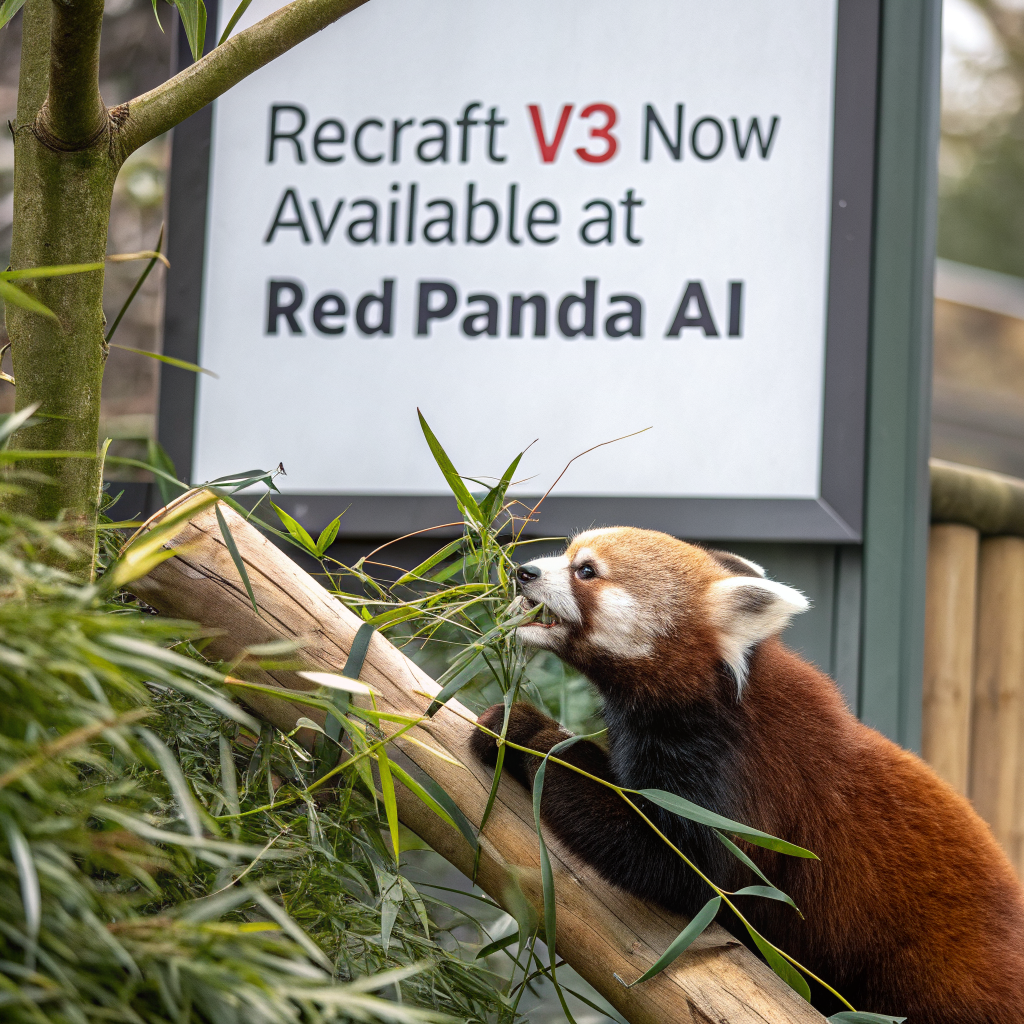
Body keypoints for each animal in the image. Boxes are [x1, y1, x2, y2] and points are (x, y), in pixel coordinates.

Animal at [469, 527, 1024, 1022]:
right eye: (566, 554)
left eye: (586, 571)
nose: (523, 571)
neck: (707, 692)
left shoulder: (741, 772)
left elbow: (677, 866)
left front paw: (529, 734)